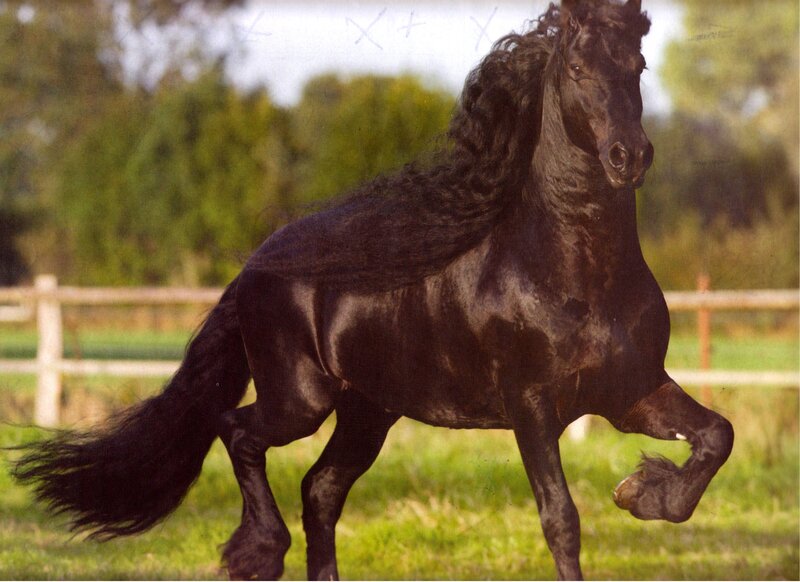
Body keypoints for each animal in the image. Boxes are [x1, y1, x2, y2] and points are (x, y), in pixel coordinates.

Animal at [12, 0, 734, 579]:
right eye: (580, 69)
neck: (571, 273)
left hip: (368, 411)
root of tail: (256, 263)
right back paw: (257, 552)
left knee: (320, 490)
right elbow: (561, 519)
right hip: (301, 400)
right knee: (239, 433)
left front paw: (642, 491)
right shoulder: (532, 408)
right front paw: (635, 490)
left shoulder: (629, 391)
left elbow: (716, 436)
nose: (629, 157)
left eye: (637, 64)